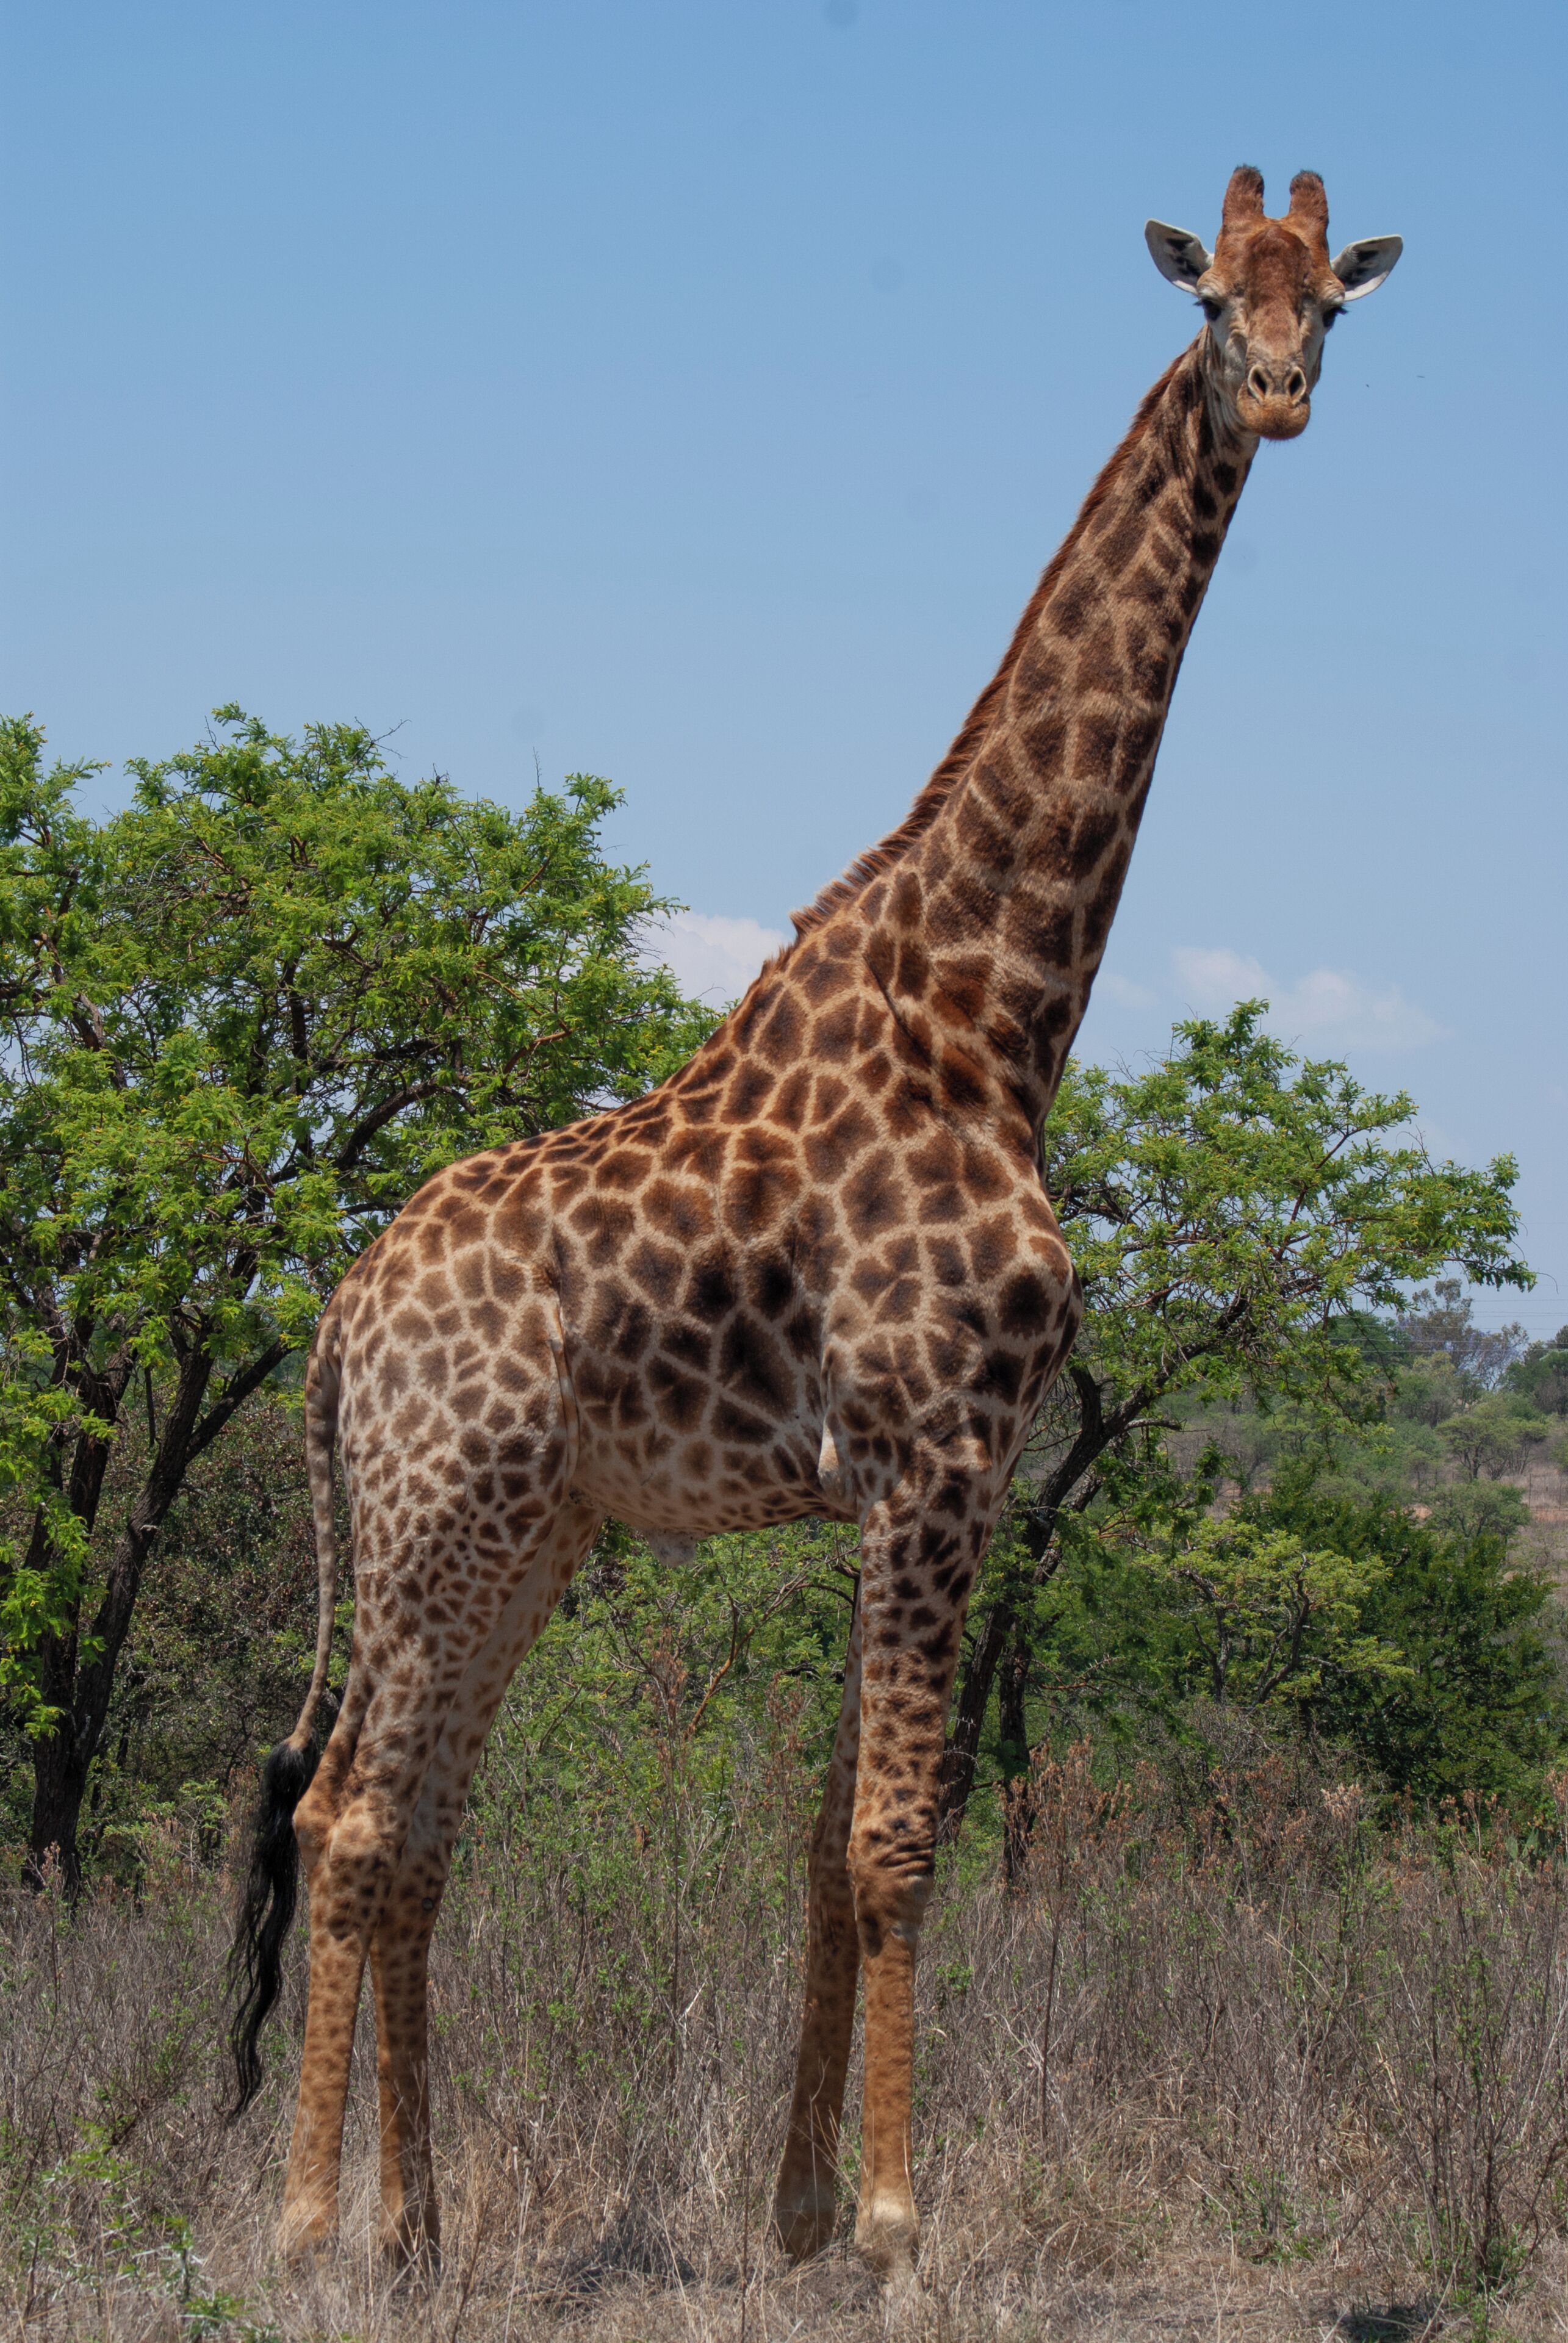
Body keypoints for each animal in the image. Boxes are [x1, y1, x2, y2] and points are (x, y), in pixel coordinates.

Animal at [230, 166, 1401, 2291]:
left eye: (1329, 309)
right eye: (1211, 302)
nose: (1275, 398)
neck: (995, 1007)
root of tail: (341, 1319)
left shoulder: (905, 1475)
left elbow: (819, 1836)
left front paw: (791, 2215)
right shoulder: (942, 1448)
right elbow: (893, 1838)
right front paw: (900, 2220)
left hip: (523, 1534)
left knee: (409, 1824)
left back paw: (423, 2224)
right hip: (438, 1524)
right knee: (348, 1823)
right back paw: (304, 2231)